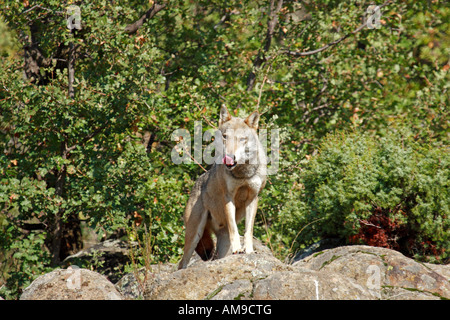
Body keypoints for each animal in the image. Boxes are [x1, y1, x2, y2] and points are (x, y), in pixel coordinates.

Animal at [177, 106, 268, 268]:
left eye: (242, 139)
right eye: (225, 136)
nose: (230, 157)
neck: (243, 174)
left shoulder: (253, 199)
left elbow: (248, 231)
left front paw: (249, 251)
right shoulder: (228, 197)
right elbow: (234, 228)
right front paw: (238, 249)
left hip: (220, 244)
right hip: (195, 235)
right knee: (182, 262)